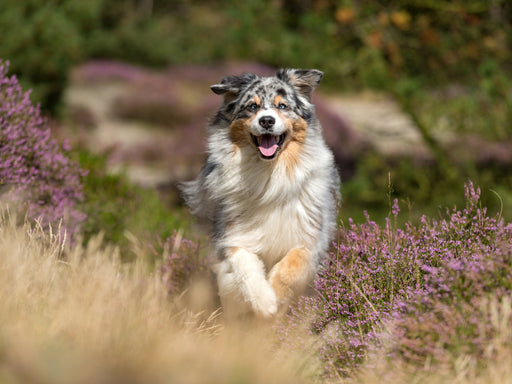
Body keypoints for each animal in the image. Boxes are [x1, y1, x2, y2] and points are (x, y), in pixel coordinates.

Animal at [181, 68, 340, 318]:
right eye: (252, 106)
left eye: (282, 106)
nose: (266, 120)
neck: (268, 174)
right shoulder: (232, 236)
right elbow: (245, 265)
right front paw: (264, 301)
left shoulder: (310, 237)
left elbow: (292, 265)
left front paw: (276, 295)